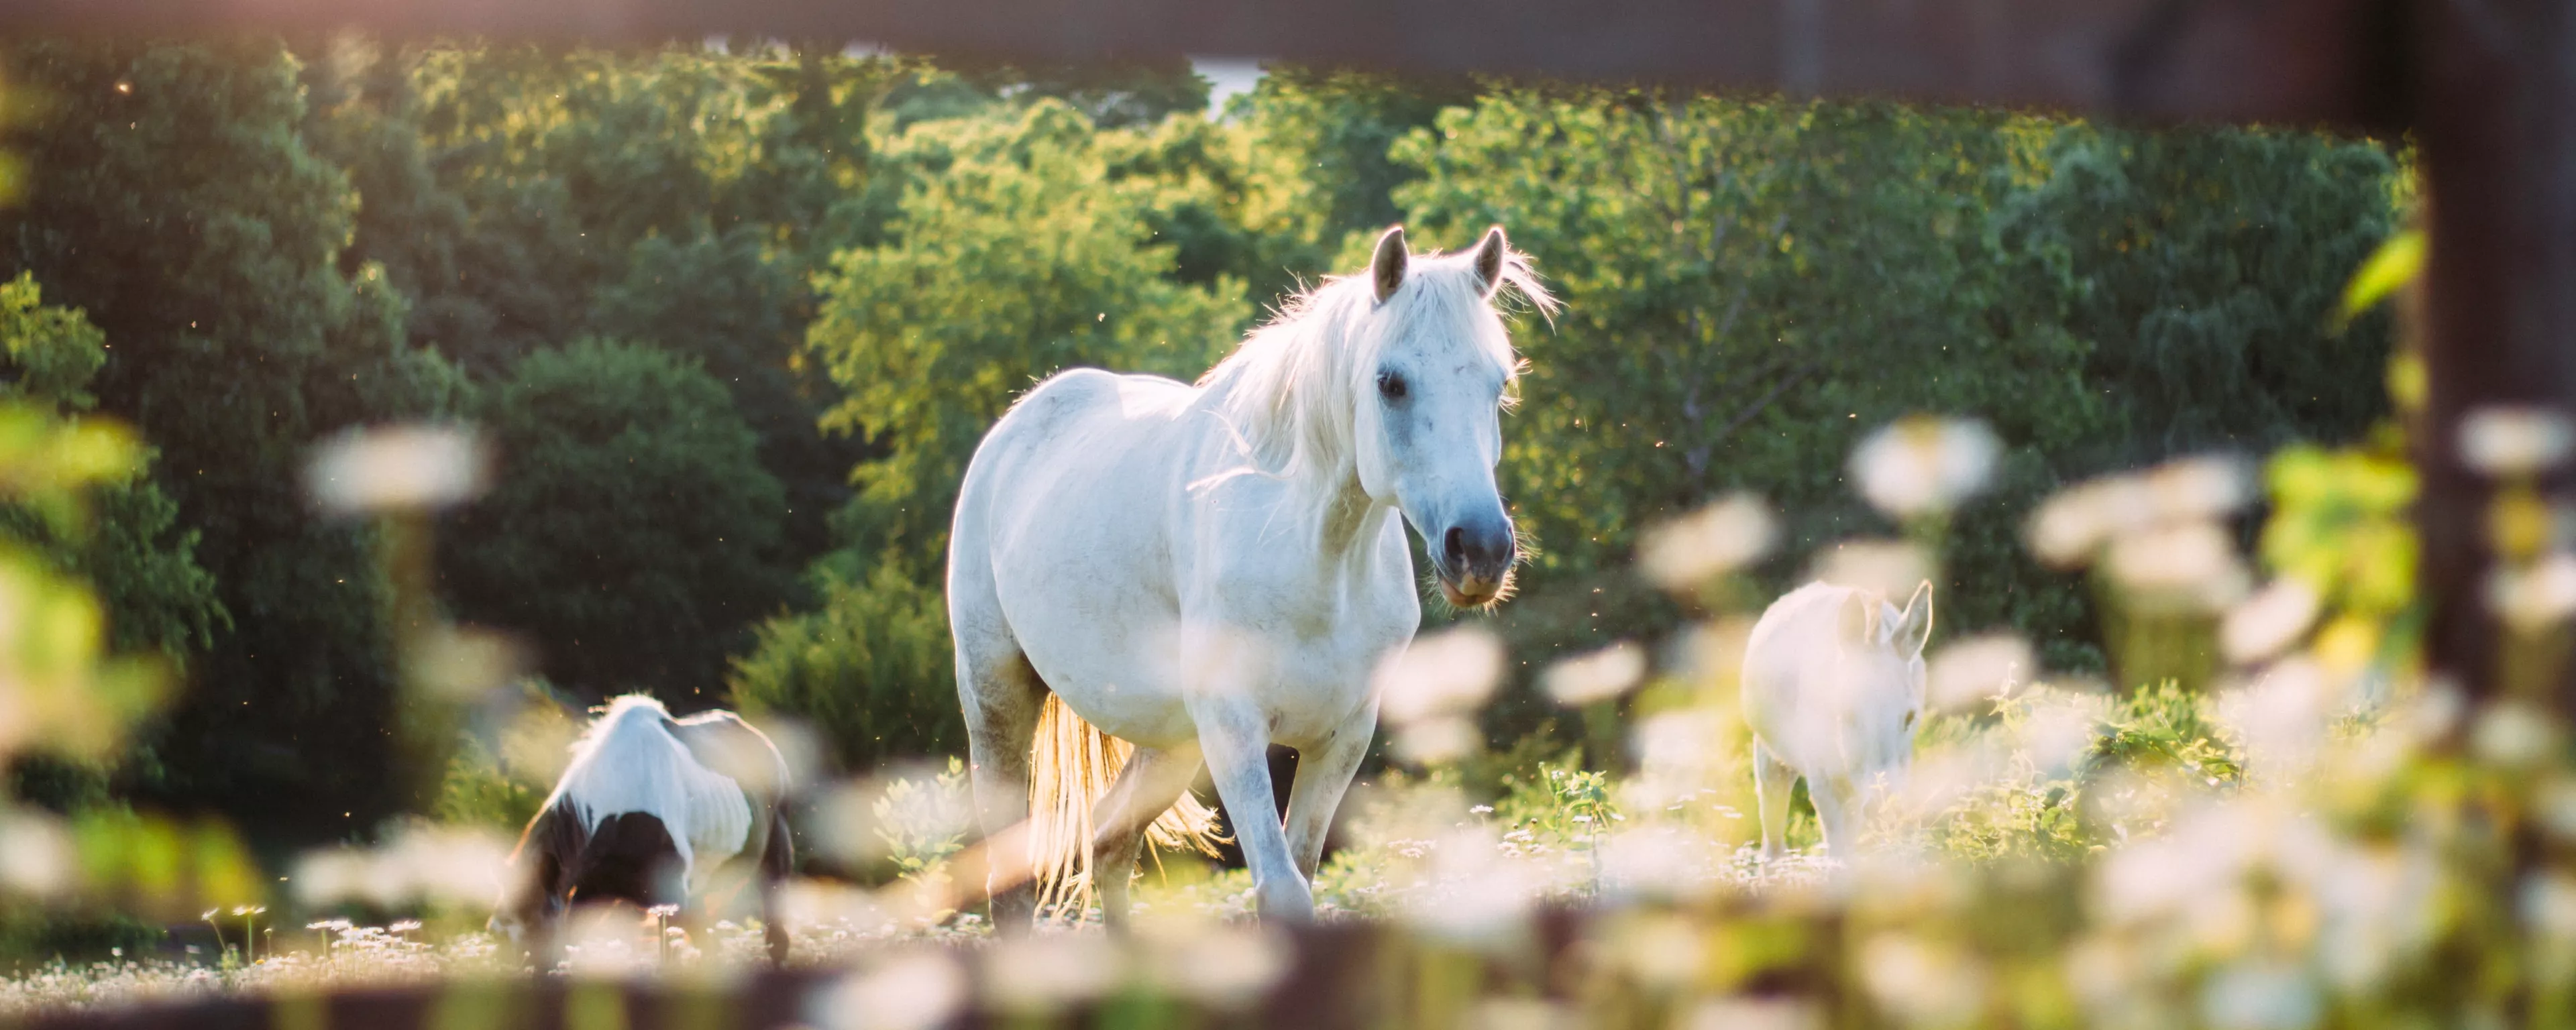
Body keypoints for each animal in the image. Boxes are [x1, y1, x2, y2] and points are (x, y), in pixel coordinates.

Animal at [948, 223, 1546, 927]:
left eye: (1497, 384)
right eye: (1391, 382)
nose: (1480, 549)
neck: (1316, 566)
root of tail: (1017, 425)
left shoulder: (1341, 738)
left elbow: (1302, 872)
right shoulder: (1235, 730)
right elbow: (1282, 891)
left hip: (1172, 743)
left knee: (1112, 843)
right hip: (997, 698)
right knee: (1011, 880)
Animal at [1731, 584, 1937, 854]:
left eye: (1910, 717)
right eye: (1847, 712)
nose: (1883, 807)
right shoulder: (1824, 788)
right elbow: (1839, 857)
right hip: (1771, 761)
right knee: (1773, 841)